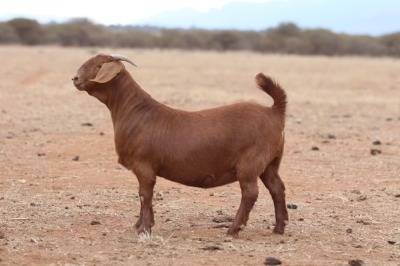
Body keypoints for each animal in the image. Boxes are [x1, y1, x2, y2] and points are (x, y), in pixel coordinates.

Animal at [72, 53, 290, 237]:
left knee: (250, 193)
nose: (75, 78)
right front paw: (143, 224)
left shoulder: (143, 165)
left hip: (250, 163)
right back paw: (279, 228)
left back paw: (233, 229)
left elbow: (144, 194)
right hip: (270, 163)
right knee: (277, 187)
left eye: (99, 65)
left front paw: (143, 228)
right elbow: (146, 196)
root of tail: (274, 112)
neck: (135, 111)